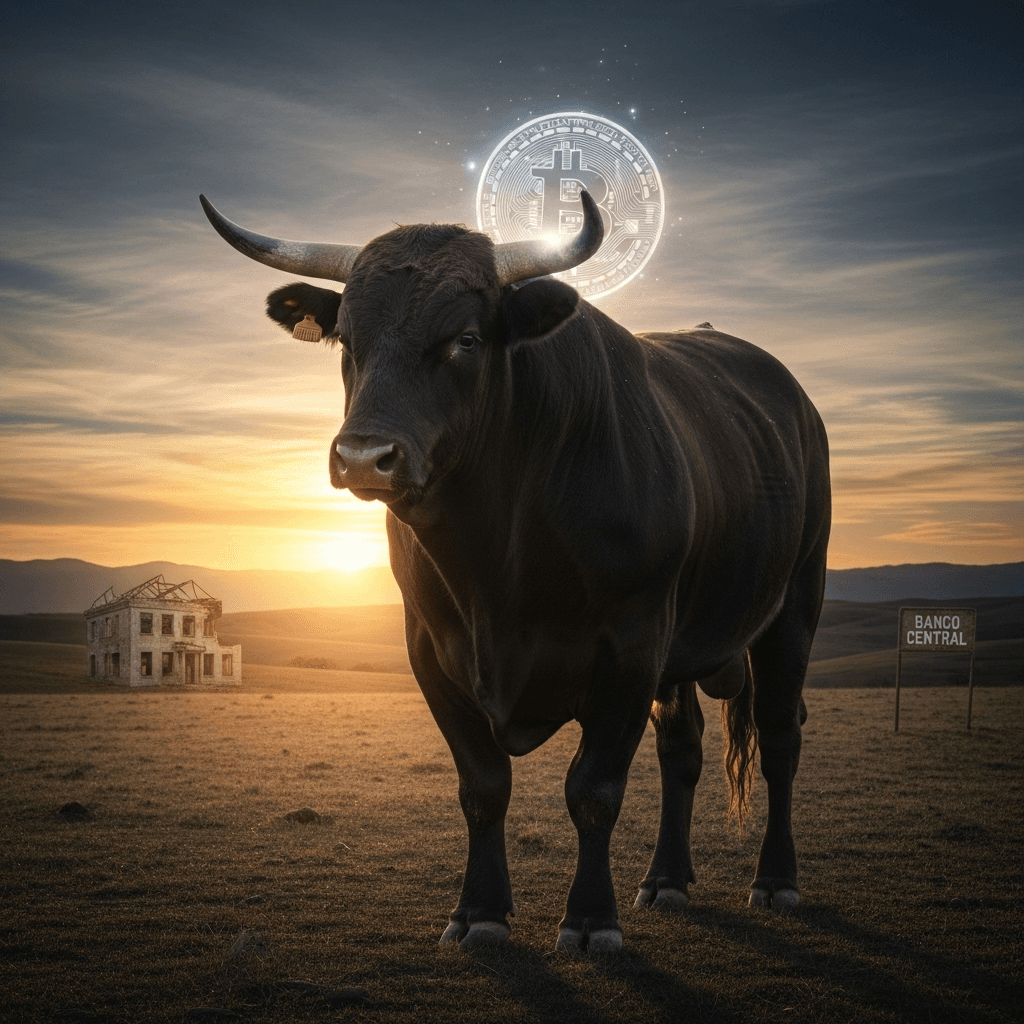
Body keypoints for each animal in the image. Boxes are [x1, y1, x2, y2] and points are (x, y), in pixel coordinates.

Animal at [200, 190, 831, 953]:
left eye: (466, 339)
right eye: (346, 340)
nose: (362, 457)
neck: (497, 560)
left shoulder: (631, 648)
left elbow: (593, 790)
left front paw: (590, 919)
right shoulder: (433, 653)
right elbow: (483, 788)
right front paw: (479, 912)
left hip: (793, 609)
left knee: (780, 738)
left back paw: (775, 880)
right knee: (682, 748)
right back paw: (667, 880)